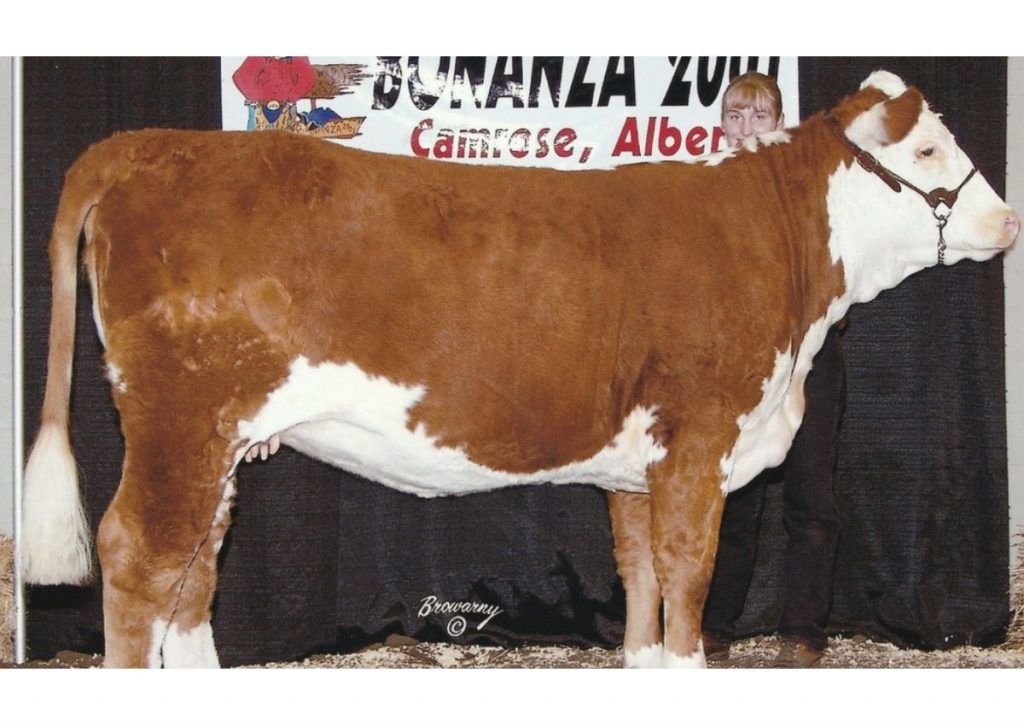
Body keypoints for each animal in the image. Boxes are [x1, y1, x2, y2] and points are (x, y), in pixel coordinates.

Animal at [19, 72, 1011, 667]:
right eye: (928, 150)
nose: (1007, 221)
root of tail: (149, 144)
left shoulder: (637, 465)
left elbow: (642, 587)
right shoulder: (698, 442)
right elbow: (687, 584)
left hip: (219, 437)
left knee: (195, 567)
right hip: (178, 419)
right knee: (140, 556)